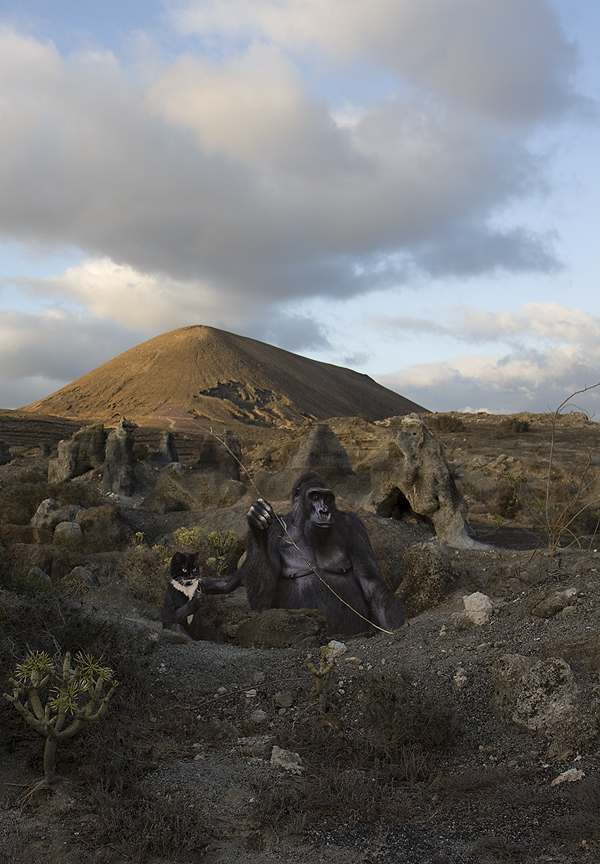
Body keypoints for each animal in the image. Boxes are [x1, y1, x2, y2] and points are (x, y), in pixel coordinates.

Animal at [203, 472, 408, 636]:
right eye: (315, 496)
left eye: (328, 498)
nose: (324, 511)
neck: (301, 523)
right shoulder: (276, 529)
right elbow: (263, 603)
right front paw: (257, 523)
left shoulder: (354, 525)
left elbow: (371, 582)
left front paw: (397, 627)